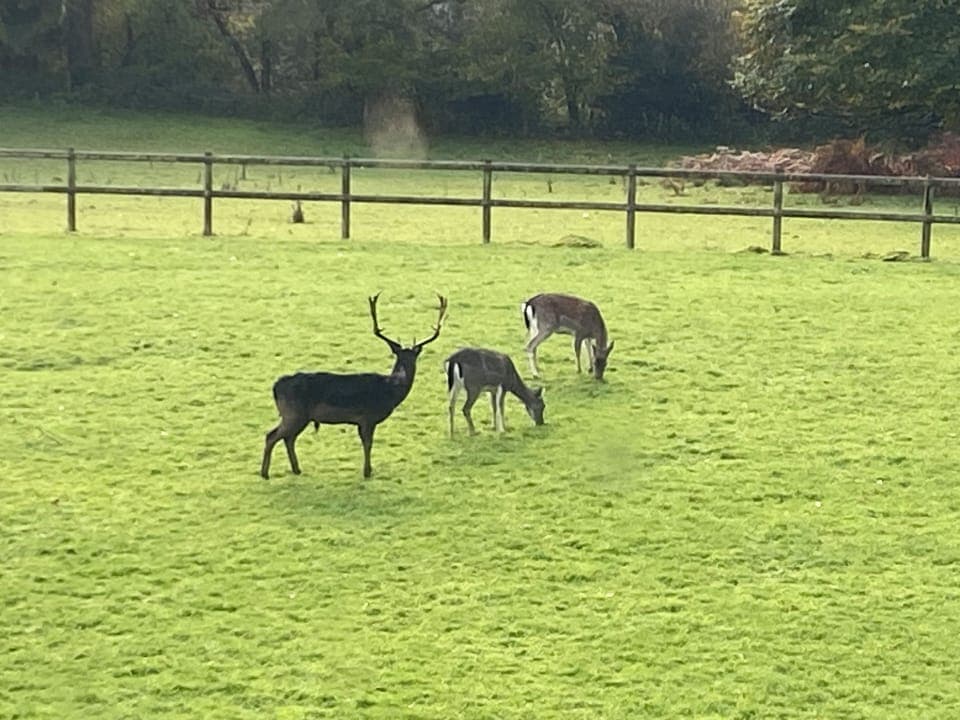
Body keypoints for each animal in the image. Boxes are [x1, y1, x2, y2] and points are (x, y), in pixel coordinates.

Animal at [260, 292, 448, 480]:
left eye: (413, 357)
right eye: (401, 357)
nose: (404, 373)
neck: (390, 391)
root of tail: (275, 387)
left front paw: (367, 470)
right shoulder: (368, 417)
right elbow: (368, 443)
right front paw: (367, 472)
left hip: (299, 416)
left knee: (288, 438)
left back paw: (296, 469)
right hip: (294, 412)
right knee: (272, 435)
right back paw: (265, 473)